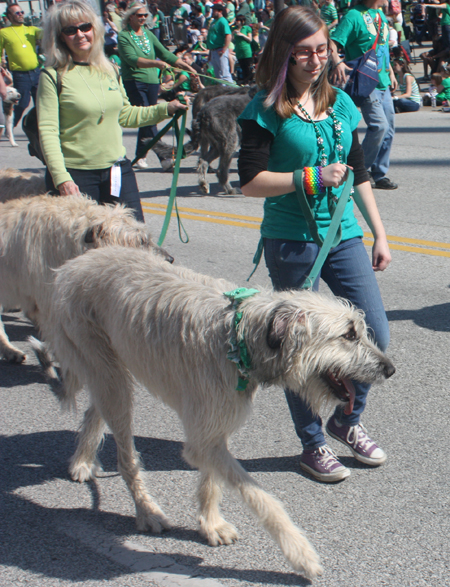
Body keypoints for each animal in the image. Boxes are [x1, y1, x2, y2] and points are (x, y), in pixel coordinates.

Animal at [38, 246, 396, 580]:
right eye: (348, 334)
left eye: (360, 330)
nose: (390, 369)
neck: (241, 336)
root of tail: (73, 265)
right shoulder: (206, 429)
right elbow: (262, 497)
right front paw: (300, 552)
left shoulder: (215, 426)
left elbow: (212, 479)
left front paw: (210, 524)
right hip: (104, 364)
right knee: (126, 452)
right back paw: (146, 510)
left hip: (110, 366)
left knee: (95, 409)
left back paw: (82, 460)